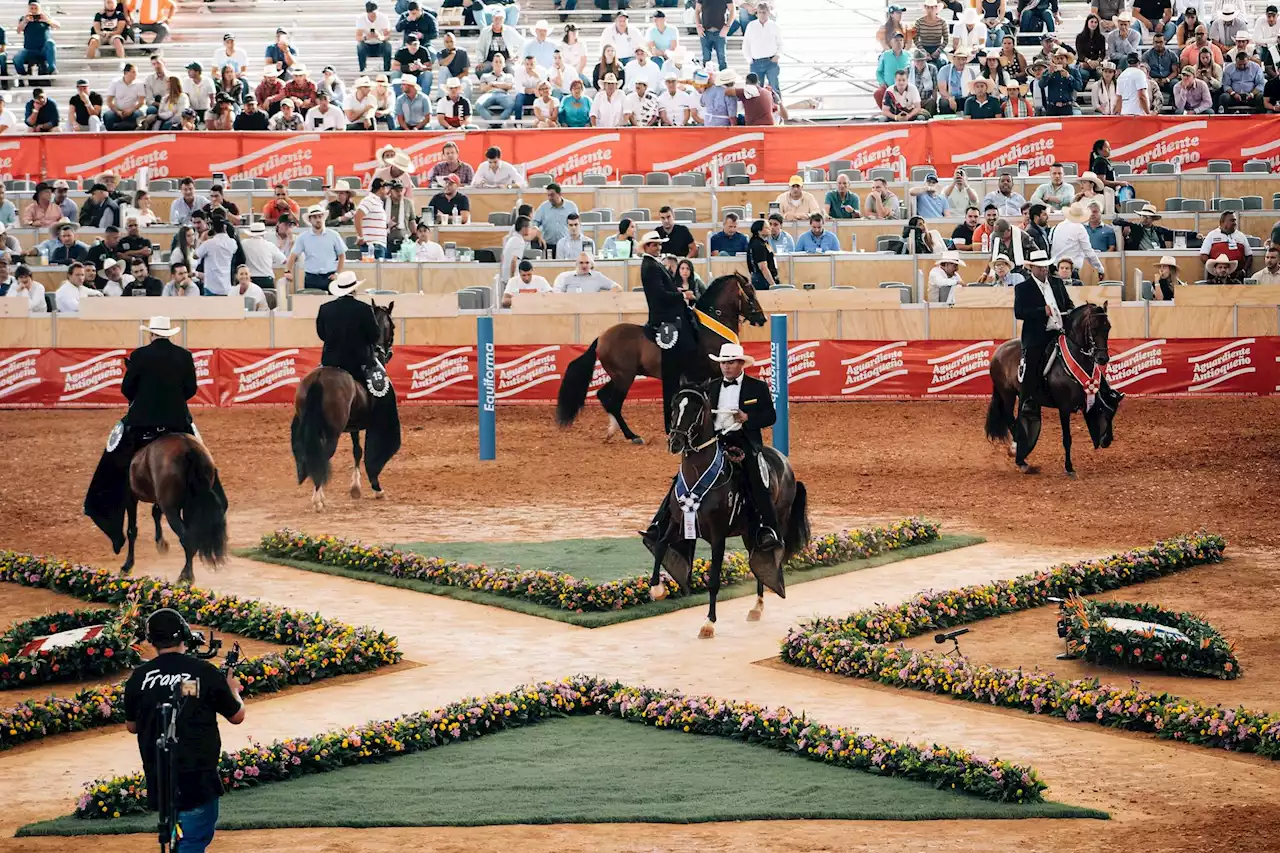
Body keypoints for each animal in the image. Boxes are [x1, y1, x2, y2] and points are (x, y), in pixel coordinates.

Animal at [120, 432, 227, 584]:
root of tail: (189, 448)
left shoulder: (130, 497)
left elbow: (131, 530)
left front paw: (127, 566)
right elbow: (155, 512)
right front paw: (161, 543)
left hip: (171, 510)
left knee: (187, 538)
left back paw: (185, 576)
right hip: (188, 508)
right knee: (191, 536)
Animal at [291, 300, 399, 507]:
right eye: (393, 326)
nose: (388, 352)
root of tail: (319, 378)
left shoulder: (354, 426)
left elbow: (357, 451)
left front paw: (355, 488)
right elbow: (367, 455)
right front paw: (377, 489)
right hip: (333, 431)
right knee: (324, 454)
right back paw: (318, 499)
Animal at [555, 272, 762, 445]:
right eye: (750, 293)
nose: (762, 319)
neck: (711, 329)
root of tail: (601, 338)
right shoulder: (713, 373)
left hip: (619, 376)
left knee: (603, 396)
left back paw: (612, 432)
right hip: (625, 377)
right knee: (614, 402)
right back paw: (633, 436)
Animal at [650, 379, 808, 637]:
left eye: (696, 409)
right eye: (674, 406)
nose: (675, 442)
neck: (698, 474)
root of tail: (784, 461)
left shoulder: (718, 536)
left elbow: (714, 579)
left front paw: (709, 623)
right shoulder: (678, 521)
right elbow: (662, 545)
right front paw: (656, 589)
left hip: (776, 519)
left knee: (768, 554)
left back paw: (758, 606)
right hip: (748, 531)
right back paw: (756, 607)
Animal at [983, 300, 1126, 473]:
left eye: (1108, 327)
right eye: (1093, 328)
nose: (1102, 358)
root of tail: (999, 350)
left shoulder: (1089, 396)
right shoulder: (1063, 408)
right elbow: (1067, 438)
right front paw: (1069, 468)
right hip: (1007, 393)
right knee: (1009, 417)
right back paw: (1018, 453)